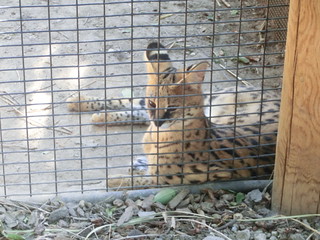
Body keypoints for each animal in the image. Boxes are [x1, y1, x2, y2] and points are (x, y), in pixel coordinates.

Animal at [67, 41, 280, 188]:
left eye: (172, 108)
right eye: (154, 103)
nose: (159, 122)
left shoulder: (186, 178)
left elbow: (134, 181)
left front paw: (113, 180)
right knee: (134, 103)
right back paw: (82, 102)